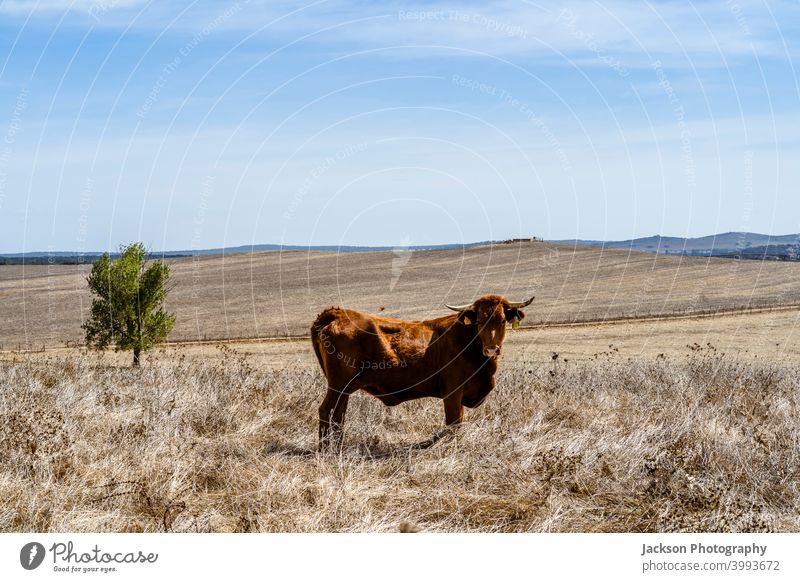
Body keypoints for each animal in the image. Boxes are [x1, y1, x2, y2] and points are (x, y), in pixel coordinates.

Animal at [310, 296, 532, 452]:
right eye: (479, 321)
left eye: (502, 320)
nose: (491, 349)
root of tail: (337, 313)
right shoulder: (453, 392)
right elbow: (454, 422)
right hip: (338, 385)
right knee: (327, 411)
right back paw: (326, 451)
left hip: (344, 389)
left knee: (338, 415)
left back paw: (337, 448)